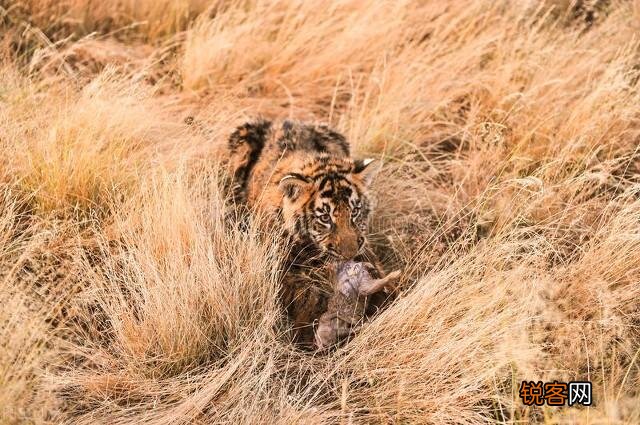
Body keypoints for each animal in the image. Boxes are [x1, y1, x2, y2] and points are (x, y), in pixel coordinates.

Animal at [226, 119, 396, 347]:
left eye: (355, 212)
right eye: (325, 218)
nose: (349, 255)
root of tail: (284, 120)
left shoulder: (364, 247)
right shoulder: (280, 265)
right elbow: (306, 294)